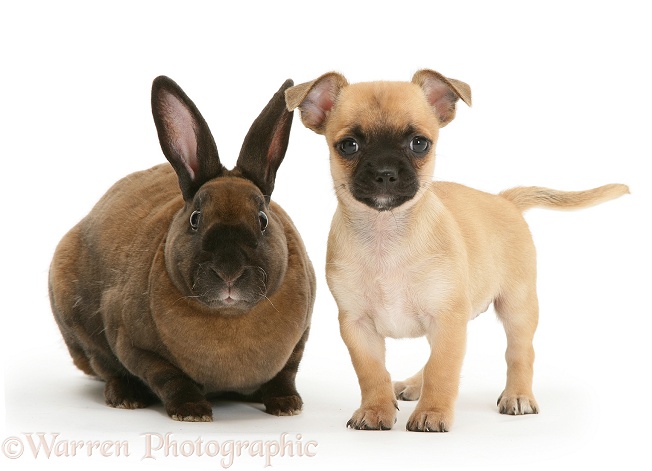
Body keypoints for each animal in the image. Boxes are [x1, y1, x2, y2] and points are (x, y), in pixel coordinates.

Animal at [48, 75, 316, 422]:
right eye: (195, 219)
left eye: (262, 220)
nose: (229, 272)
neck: (229, 318)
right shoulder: (136, 348)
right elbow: (169, 378)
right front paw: (192, 411)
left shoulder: (300, 340)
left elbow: (285, 374)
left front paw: (287, 405)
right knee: (106, 367)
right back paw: (126, 397)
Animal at [286, 68, 632, 434]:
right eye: (349, 145)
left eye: (419, 143)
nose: (384, 173)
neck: (385, 233)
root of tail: (505, 200)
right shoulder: (358, 327)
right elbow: (373, 373)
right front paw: (376, 409)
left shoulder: (446, 320)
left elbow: (443, 370)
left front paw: (433, 412)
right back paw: (413, 384)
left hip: (518, 308)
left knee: (519, 353)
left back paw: (518, 394)